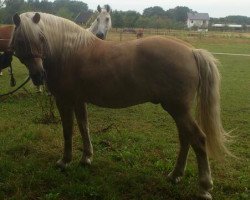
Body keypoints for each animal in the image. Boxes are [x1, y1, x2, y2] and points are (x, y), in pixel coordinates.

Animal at [10, 12, 229, 200]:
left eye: (41, 38)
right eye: (20, 41)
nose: (39, 75)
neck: (68, 50)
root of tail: (191, 51)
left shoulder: (64, 100)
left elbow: (68, 131)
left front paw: (65, 161)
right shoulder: (79, 100)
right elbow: (84, 127)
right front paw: (86, 158)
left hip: (178, 109)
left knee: (198, 139)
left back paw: (204, 187)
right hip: (178, 110)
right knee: (185, 139)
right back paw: (175, 175)